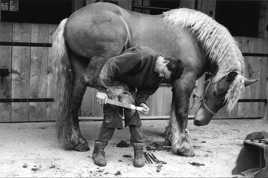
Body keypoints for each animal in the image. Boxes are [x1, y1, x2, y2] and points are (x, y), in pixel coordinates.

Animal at [51, 2, 256, 156]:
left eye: (225, 100)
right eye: (216, 91)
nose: (200, 121)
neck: (196, 37)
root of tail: (69, 19)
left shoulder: (177, 84)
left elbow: (173, 111)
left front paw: (172, 138)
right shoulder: (185, 81)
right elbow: (181, 111)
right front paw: (183, 147)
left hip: (79, 68)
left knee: (75, 99)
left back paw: (77, 141)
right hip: (106, 56)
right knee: (95, 79)